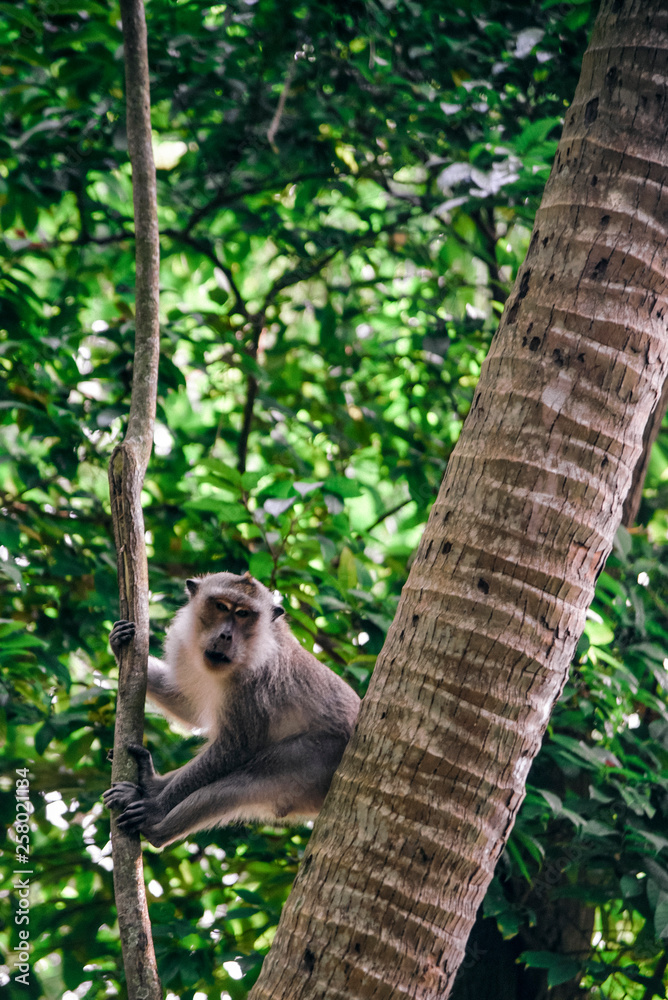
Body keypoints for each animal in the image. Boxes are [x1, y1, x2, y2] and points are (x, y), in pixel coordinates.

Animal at [103, 571, 360, 848]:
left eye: (243, 614)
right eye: (221, 607)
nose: (226, 636)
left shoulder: (254, 683)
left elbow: (235, 749)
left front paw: (156, 808)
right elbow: (187, 705)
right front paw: (118, 644)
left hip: (321, 755)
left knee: (242, 782)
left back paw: (154, 825)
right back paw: (150, 783)